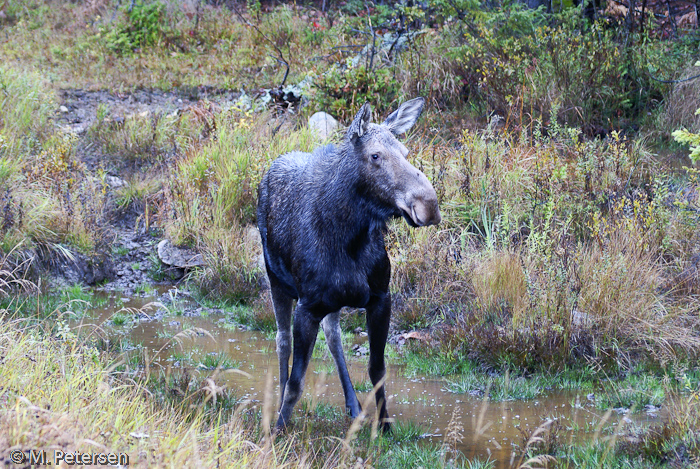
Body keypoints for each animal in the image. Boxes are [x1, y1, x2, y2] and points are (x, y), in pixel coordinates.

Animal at [258, 98, 442, 432]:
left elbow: (377, 370)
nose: (428, 204)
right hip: (276, 280)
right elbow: (296, 382)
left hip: (332, 302)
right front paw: (278, 429)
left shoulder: (381, 298)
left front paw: (385, 426)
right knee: (282, 341)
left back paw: (353, 405)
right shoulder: (307, 306)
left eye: (406, 151)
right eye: (375, 155)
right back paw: (278, 408)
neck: (350, 241)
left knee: (333, 337)